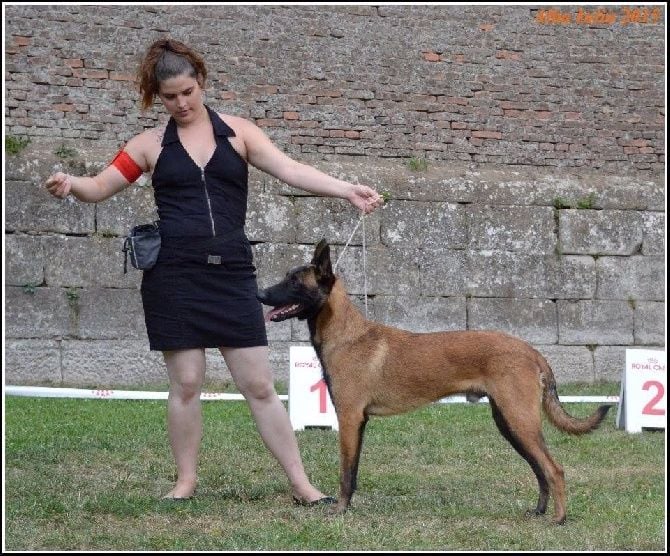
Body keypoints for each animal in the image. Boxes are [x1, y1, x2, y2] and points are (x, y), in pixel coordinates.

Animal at [258, 241, 616, 524]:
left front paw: (339, 511)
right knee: (539, 470)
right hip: (510, 424)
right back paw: (539, 512)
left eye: (293, 281)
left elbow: (346, 473)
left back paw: (559, 518)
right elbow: (355, 471)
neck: (347, 334)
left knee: (553, 469)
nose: (260, 293)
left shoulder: (348, 419)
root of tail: (531, 350)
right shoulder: (357, 423)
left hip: (520, 421)